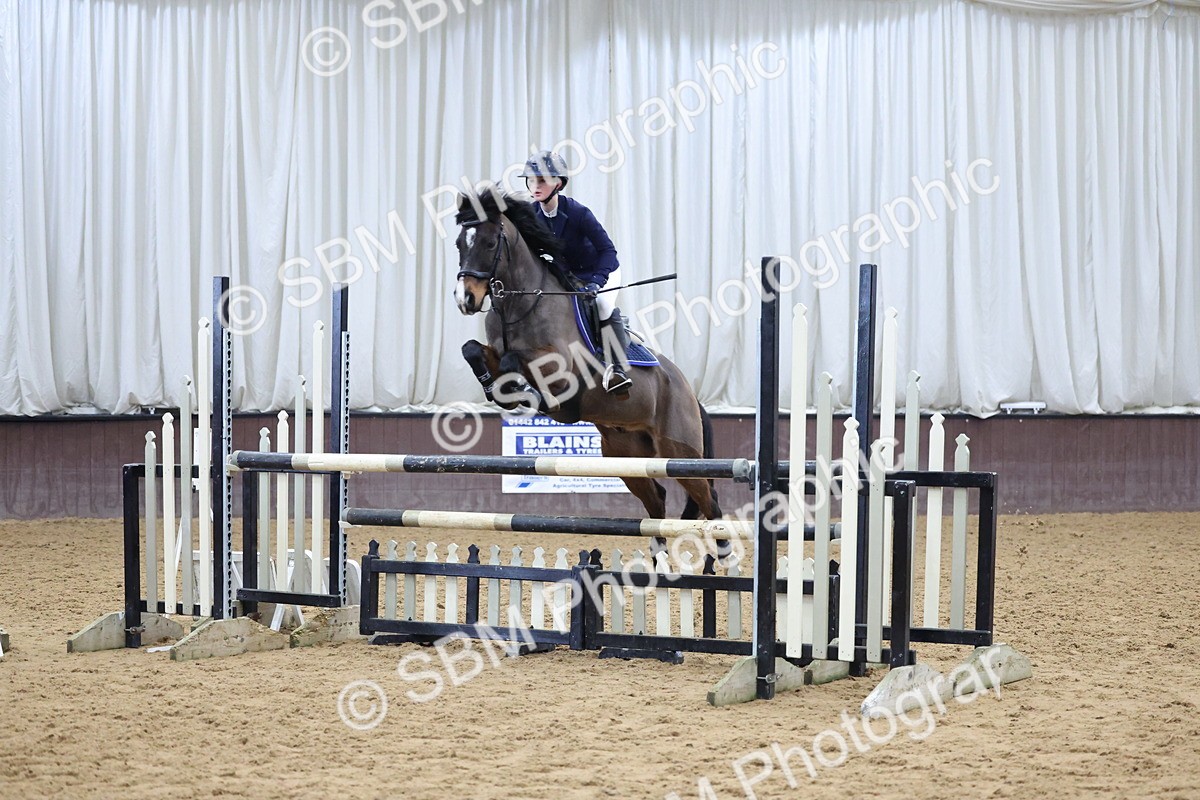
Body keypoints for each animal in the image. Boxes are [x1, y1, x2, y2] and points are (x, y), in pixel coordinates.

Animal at [452, 185, 723, 522]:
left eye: (490, 243)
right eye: (459, 244)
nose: (465, 299)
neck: (521, 304)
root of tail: (690, 393)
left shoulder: (563, 373)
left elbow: (513, 360)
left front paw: (528, 392)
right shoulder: (494, 352)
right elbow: (473, 349)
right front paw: (496, 388)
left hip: (679, 451)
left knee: (709, 502)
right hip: (625, 453)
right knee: (658, 500)